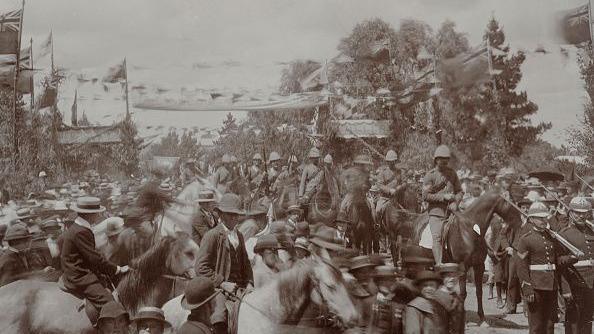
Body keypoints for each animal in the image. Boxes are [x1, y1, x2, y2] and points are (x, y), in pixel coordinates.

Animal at [398, 190, 520, 326]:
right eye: (508, 203)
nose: (520, 219)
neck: (469, 231)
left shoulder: (479, 266)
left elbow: (479, 292)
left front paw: (482, 319)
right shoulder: (463, 266)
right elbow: (463, 293)